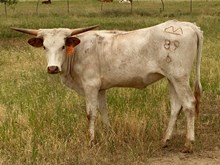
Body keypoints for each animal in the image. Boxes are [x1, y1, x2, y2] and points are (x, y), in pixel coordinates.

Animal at [10, 20, 203, 153]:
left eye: (63, 46)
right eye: (44, 47)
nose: (52, 68)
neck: (78, 51)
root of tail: (187, 25)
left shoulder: (90, 86)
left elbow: (91, 114)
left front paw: (91, 141)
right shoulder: (101, 89)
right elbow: (103, 111)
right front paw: (110, 135)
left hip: (179, 77)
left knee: (189, 104)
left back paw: (189, 144)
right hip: (172, 79)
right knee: (176, 106)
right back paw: (165, 140)